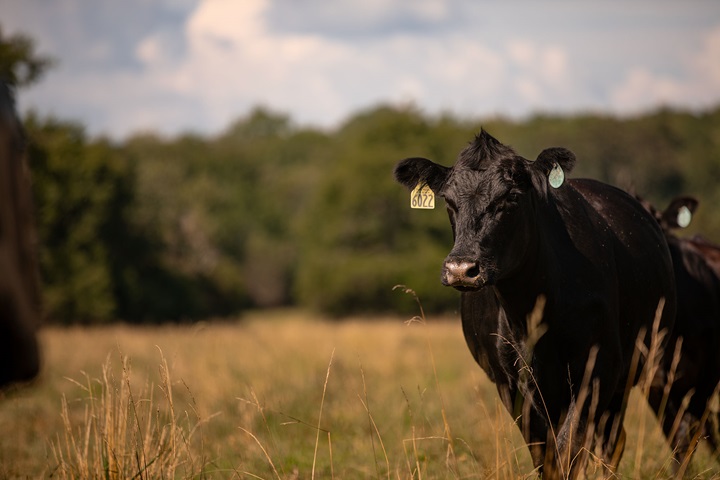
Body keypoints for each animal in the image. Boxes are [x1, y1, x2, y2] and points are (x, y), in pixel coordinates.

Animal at [394, 130, 676, 478]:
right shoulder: (510, 384)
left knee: (611, 442)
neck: (529, 311)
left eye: (510, 198)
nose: (461, 268)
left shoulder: (597, 370)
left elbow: (568, 450)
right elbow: (546, 457)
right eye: (448, 201)